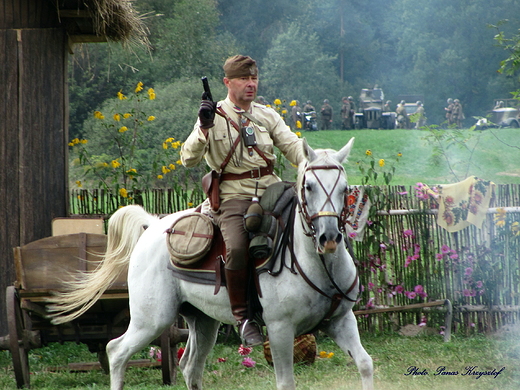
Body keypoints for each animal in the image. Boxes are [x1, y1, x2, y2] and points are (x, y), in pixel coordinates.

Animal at [48, 137, 374, 390]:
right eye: (309, 187)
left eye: (344, 188)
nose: (329, 237)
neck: (316, 264)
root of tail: (152, 226)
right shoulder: (280, 329)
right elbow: (286, 382)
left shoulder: (341, 321)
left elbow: (365, 364)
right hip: (151, 320)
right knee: (117, 352)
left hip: (203, 321)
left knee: (190, 367)